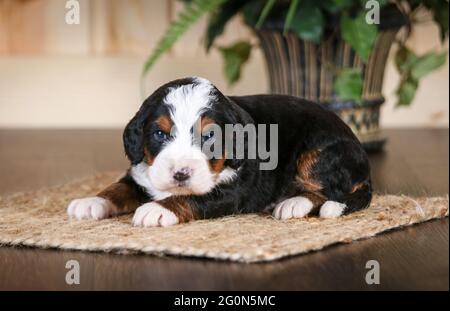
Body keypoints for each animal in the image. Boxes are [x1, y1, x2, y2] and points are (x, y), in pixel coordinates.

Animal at [67, 77, 372, 228]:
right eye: (160, 134)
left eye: (209, 136)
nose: (180, 173)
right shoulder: (140, 173)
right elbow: (118, 187)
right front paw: (91, 201)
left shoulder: (234, 190)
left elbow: (193, 197)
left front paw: (157, 209)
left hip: (316, 153)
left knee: (329, 192)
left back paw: (293, 203)